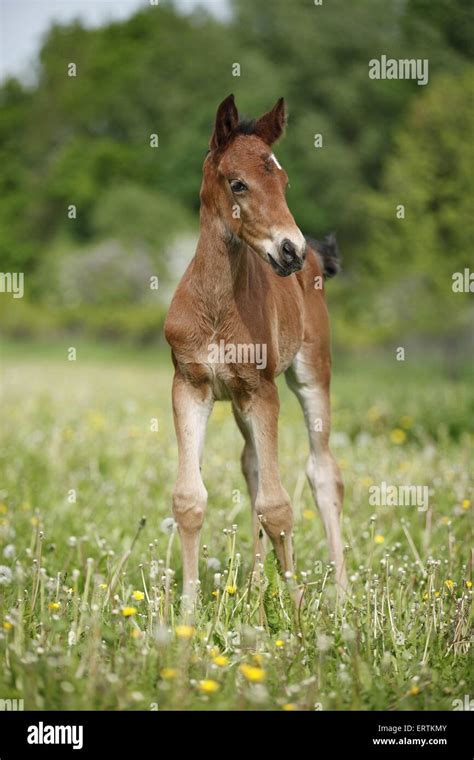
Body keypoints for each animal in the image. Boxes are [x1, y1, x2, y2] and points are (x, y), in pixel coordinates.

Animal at [165, 96, 346, 604]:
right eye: (238, 183)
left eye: (283, 182)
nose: (291, 251)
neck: (215, 307)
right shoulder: (190, 385)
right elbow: (189, 498)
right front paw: (186, 611)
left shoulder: (264, 391)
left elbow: (278, 504)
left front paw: (296, 606)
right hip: (238, 399)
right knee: (252, 467)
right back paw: (256, 582)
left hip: (311, 372)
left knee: (324, 472)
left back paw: (342, 594)